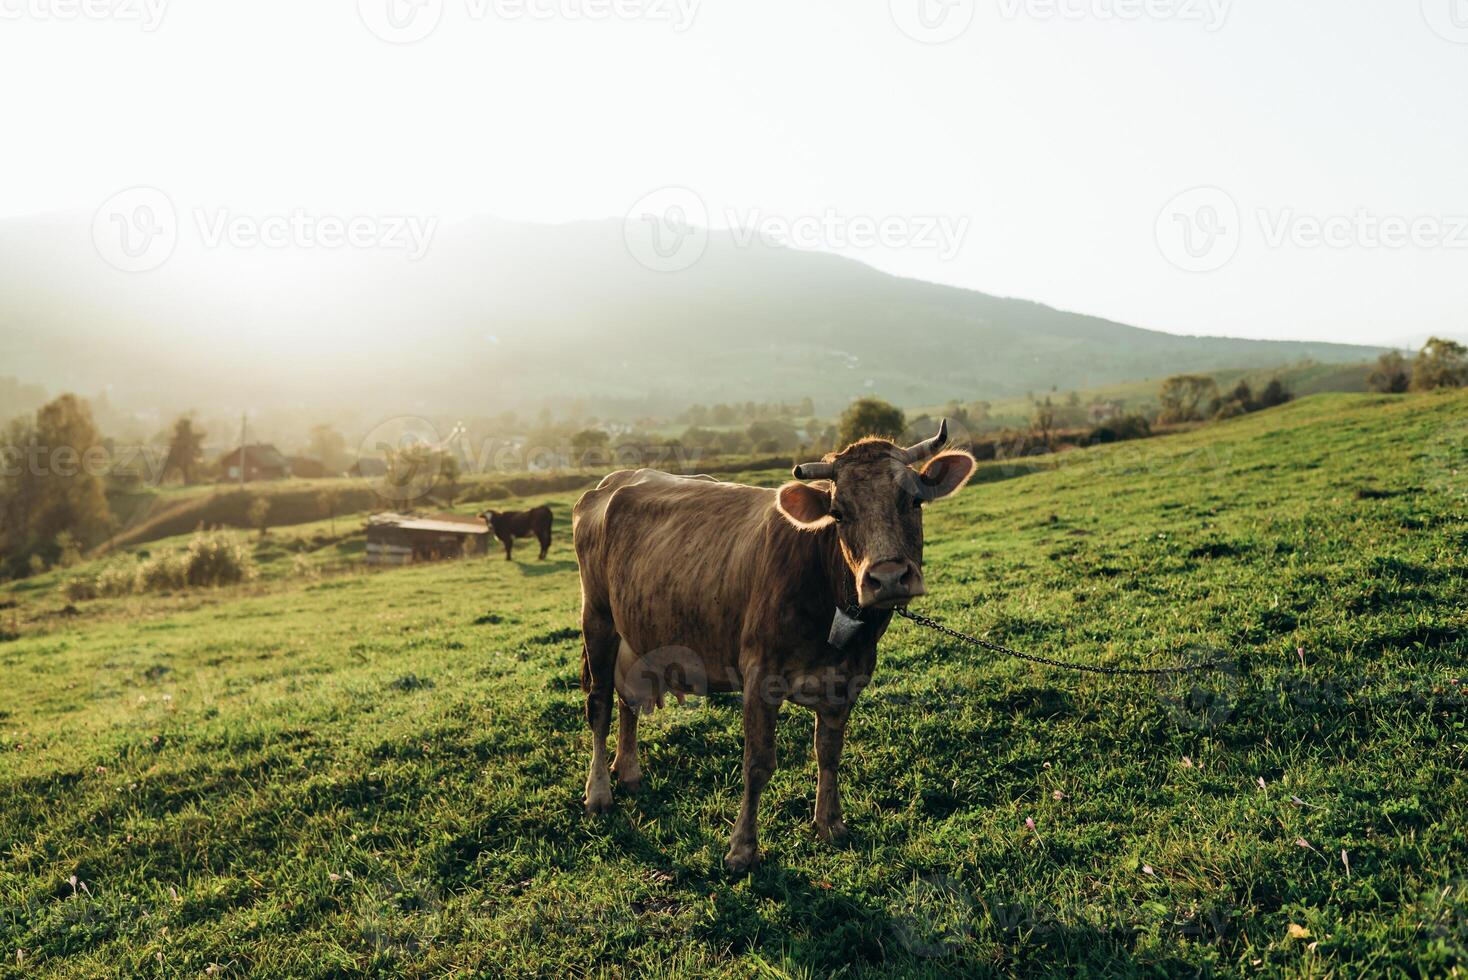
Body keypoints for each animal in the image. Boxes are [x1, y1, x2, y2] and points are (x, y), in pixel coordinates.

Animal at [569, 422, 974, 874]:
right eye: (839, 513)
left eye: (913, 500)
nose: (887, 578)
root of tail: (614, 480)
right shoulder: (759, 677)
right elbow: (758, 764)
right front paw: (742, 848)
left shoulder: (848, 680)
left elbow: (828, 753)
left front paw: (830, 823)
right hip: (598, 618)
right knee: (600, 704)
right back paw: (599, 792)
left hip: (638, 634)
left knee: (628, 702)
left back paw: (629, 771)